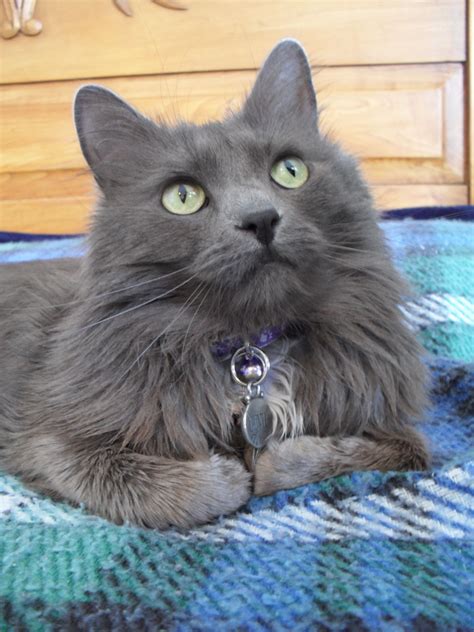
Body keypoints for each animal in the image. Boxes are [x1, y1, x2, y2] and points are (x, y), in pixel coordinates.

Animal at [0, 40, 430, 528]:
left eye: (290, 170)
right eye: (183, 197)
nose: (260, 219)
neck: (252, 351)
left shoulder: (393, 424)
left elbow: (391, 449)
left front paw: (272, 462)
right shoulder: (49, 440)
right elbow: (174, 491)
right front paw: (230, 474)